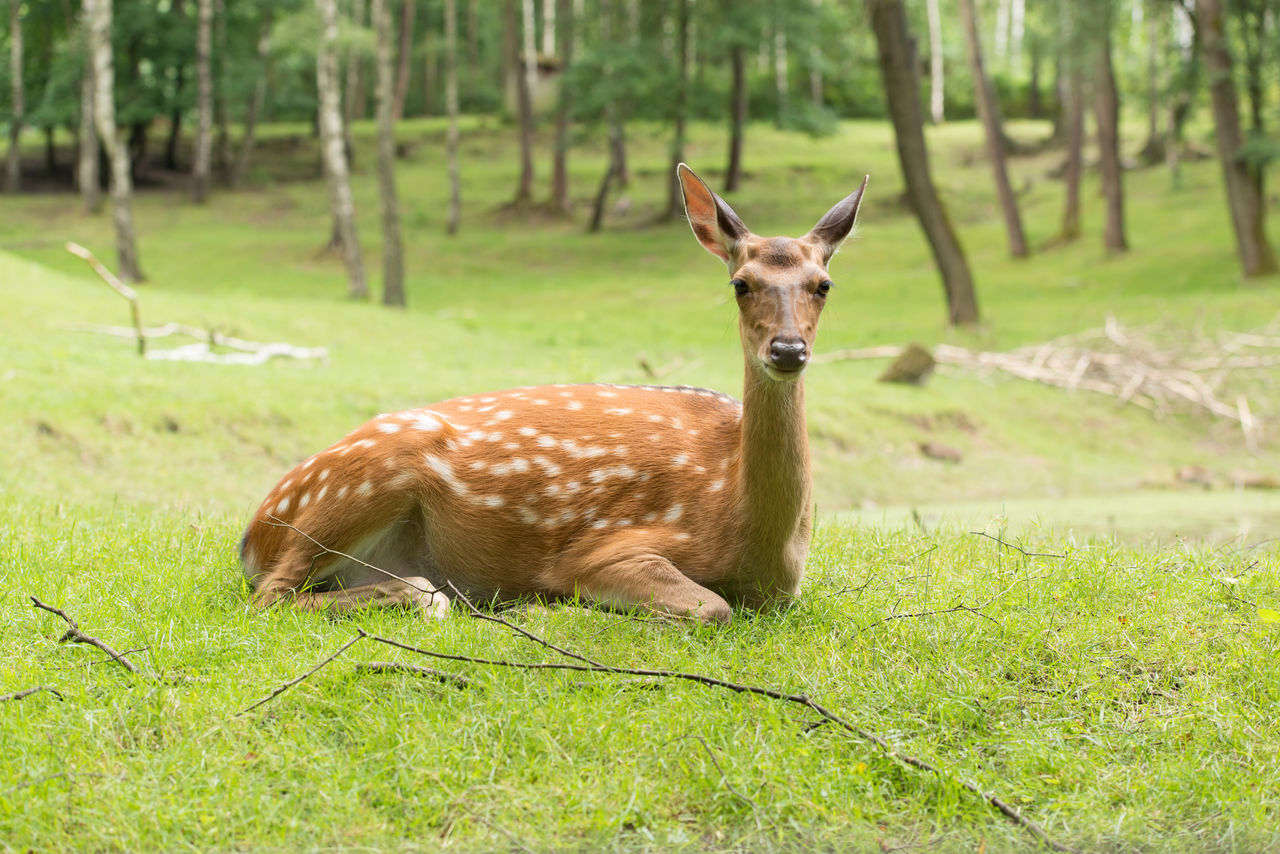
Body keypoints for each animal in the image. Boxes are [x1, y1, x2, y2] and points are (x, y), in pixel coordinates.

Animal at [238, 163, 870, 624]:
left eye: (824, 285)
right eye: (741, 283)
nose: (787, 350)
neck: (749, 535)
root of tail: (252, 535)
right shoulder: (604, 549)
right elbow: (712, 608)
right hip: (364, 480)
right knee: (271, 594)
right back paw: (436, 597)